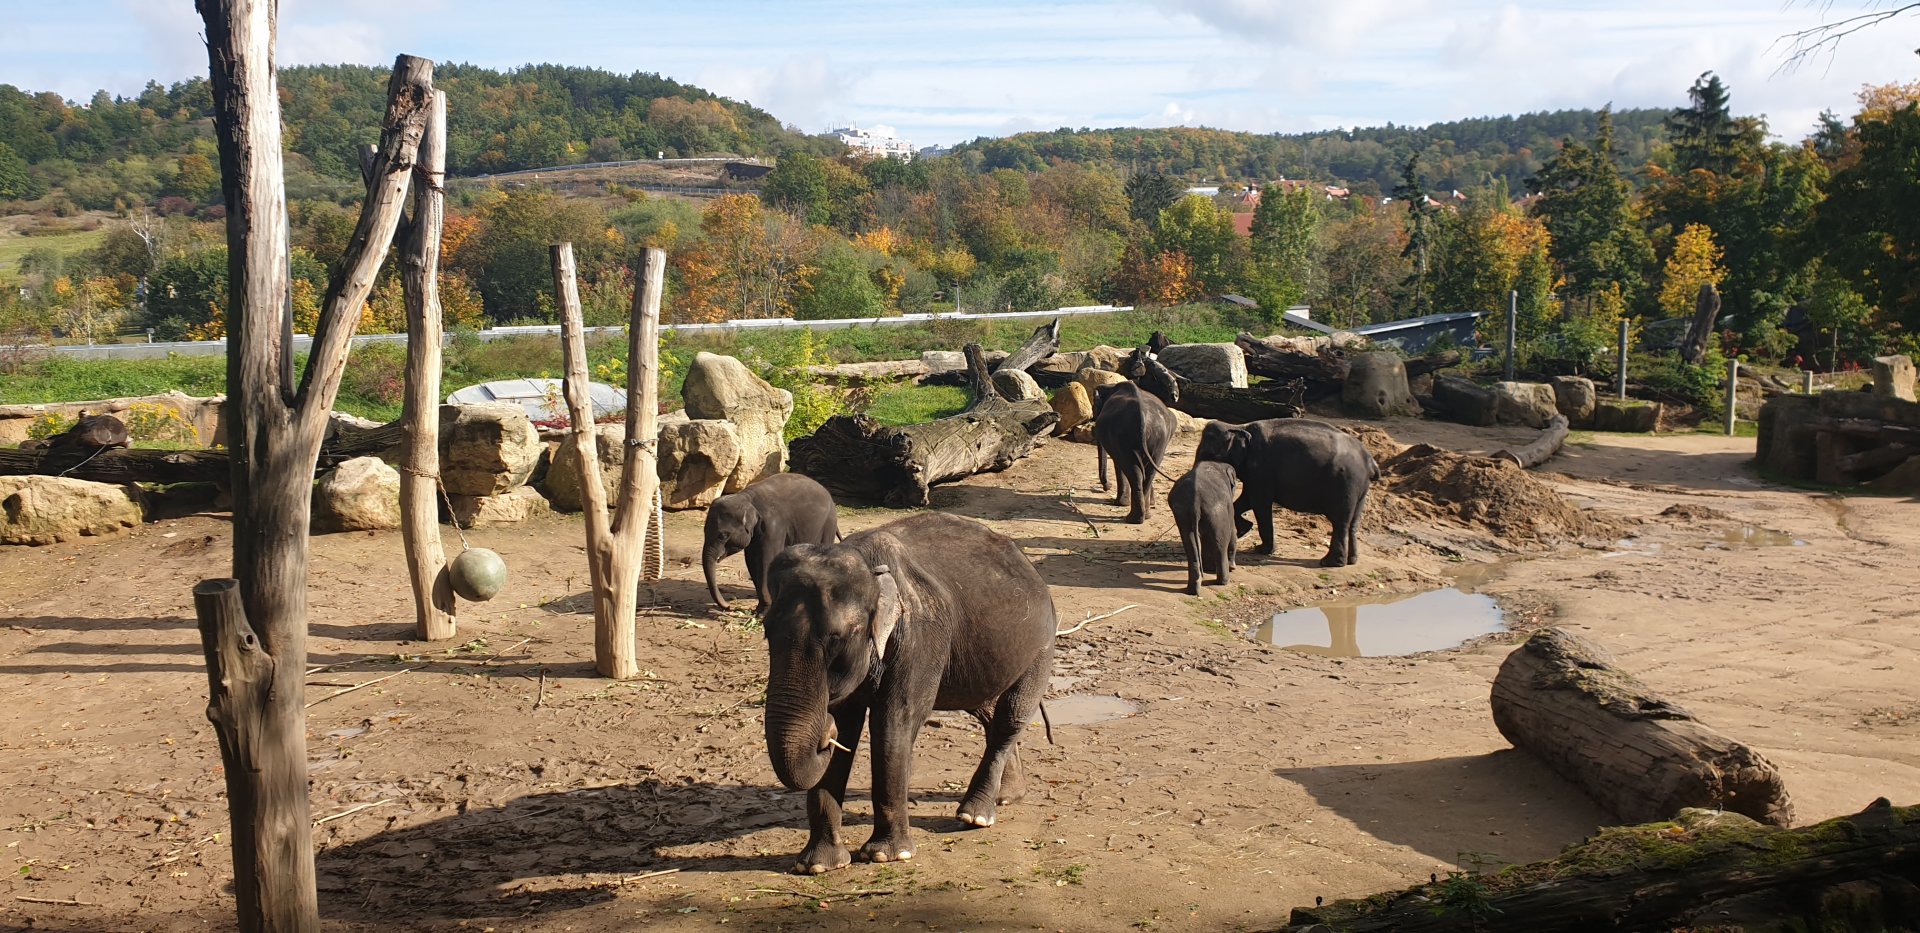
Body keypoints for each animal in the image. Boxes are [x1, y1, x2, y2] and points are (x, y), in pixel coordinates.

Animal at [703, 472, 840, 610]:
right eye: (704, 531)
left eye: (723, 535)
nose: (728, 606)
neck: (747, 498)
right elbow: (752, 561)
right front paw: (760, 609)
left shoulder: (773, 528)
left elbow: (766, 560)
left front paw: (763, 611)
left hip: (829, 523)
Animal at [760, 511, 1056, 875]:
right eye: (767, 631)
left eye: (837, 638)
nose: (823, 735)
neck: (865, 562)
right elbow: (847, 724)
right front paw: (817, 866)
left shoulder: (920, 637)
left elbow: (895, 720)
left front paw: (887, 856)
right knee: (986, 711)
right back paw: (1007, 797)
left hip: (1042, 642)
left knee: (1011, 714)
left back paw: (975, 816)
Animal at [1168, 460, 1239, 595]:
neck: (1218, 464)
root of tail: (1195, 499)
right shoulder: (1228, 505)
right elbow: (1233, 529)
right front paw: (1233, 567)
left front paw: (1208, 568)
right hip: (1216, 510)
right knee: (1221, 541)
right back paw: (1223, 581)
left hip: (1182, 512)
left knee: (1190, 543)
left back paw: (1194, 588)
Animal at [1195, 418, 1378, 567]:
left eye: (1209, 453)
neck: (1238, 426)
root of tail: (1369, 460)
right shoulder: (1254, 472)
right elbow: (1246, 499)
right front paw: (1244, 530)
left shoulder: (1260, 467)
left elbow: (1258, 502)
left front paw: (1261, 550)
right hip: (1360, 489)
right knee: (1353, 523)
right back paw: (1351, 561)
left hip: (1345, 484)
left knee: (1340, 522)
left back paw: (1329, 563)